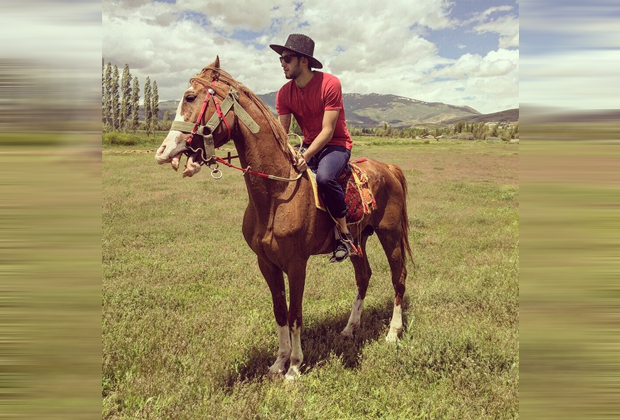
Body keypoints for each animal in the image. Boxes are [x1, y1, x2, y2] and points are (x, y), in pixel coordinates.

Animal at [155, 57, 412, 378]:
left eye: (190, 97)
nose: (163, 151)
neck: (277, 194)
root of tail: (389, 168)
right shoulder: (266, 263)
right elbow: (279, 311)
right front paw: (279, 362)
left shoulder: (296, 264)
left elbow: (295, 313)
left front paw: (295, 367)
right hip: (358, 240)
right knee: (363, 276)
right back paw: (349, 329)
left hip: (389, 234)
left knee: (398, 277)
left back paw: (392, 332)